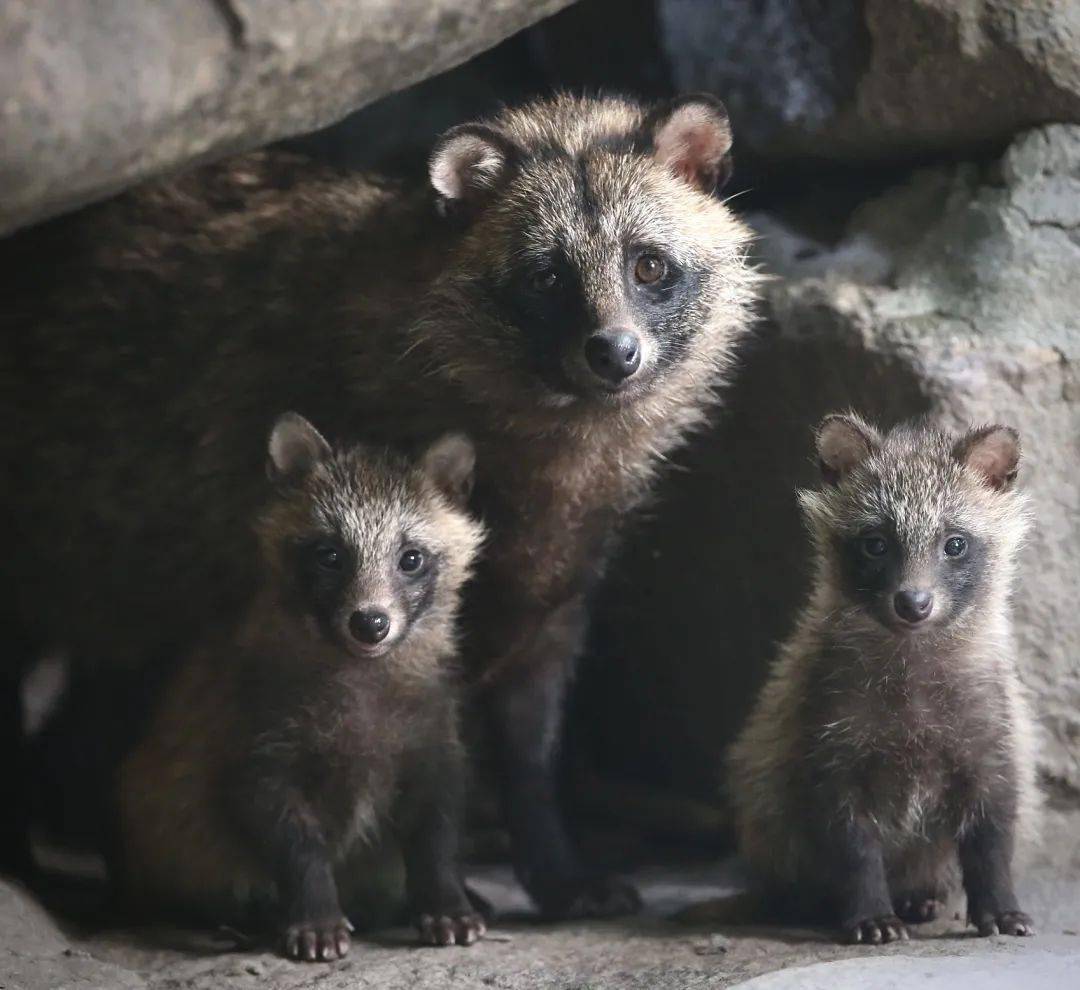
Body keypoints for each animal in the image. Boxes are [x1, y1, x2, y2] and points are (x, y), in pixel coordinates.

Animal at [116, 412, 483, 963]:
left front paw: (447, 900)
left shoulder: (432, 733)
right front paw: (315, 913)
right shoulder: (255, 737)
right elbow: (294, 841)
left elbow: (436, 829)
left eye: (411, 558)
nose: (370, 624)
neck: (360, 676)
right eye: (330, 555)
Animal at [725, 412, 1036, 937]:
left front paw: (999, 905)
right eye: (876, 544)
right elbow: (852, 846)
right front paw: (870, 911)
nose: (913, 603)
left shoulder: (994, 735)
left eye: (955, 543)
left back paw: (918, 896)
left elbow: (993, 836)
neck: (913, 661)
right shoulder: (824, 739)